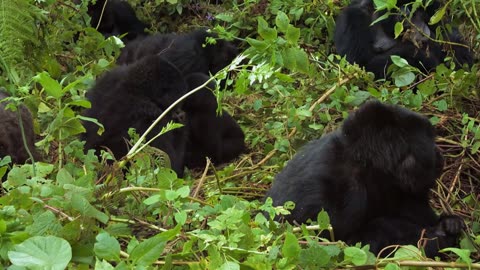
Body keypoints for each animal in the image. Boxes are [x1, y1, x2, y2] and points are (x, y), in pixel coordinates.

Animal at [266, 100, 464, 258]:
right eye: (430, 141)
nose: (439, 155)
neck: (365, 162)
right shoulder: (331, 193)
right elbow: (347, 244)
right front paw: (439, 235)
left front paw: (447, 224)